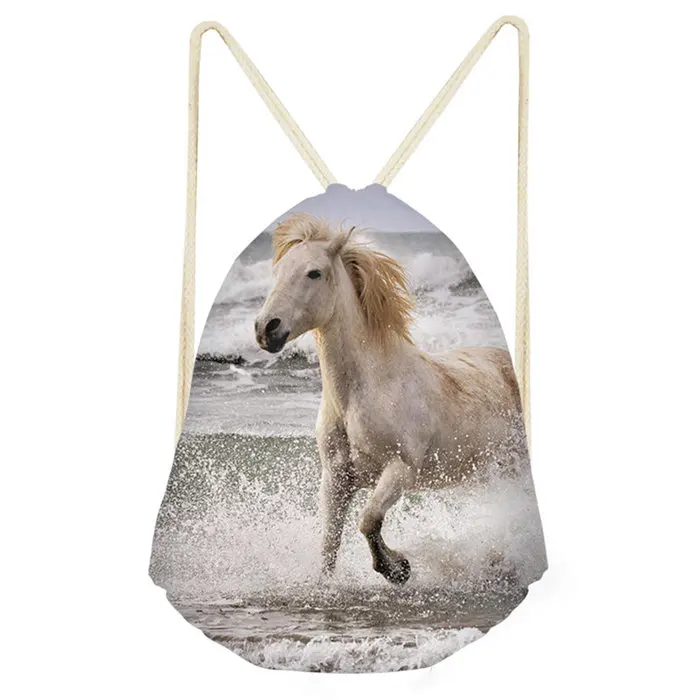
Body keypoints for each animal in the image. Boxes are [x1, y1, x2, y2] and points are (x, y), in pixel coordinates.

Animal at [254, 213, 524, 585]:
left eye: (314, 273)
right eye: (277, 271)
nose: (266, 329)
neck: (362, 393)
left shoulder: (400, 471)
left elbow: (368, 520)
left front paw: (397, 568)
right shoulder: (336, 479)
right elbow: (329, 542)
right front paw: (328, 585)